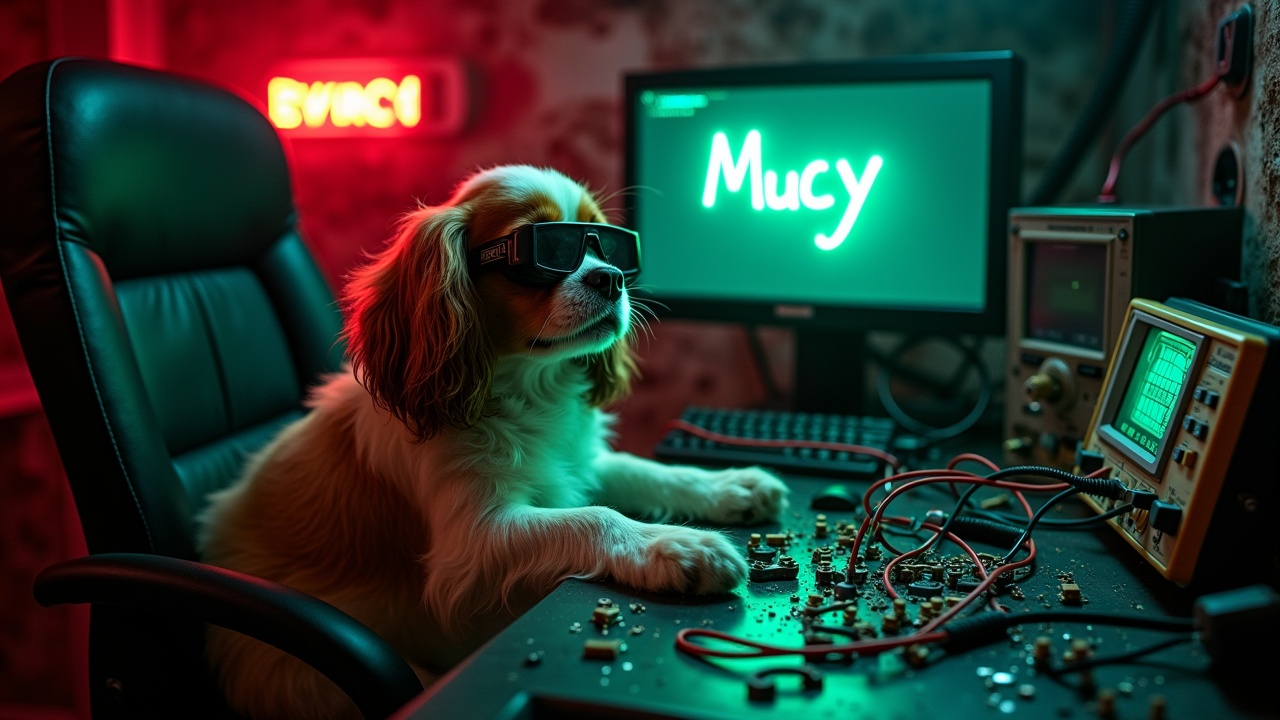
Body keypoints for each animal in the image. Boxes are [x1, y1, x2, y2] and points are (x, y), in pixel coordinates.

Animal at [197, 165, 788, 712]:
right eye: (546, 248)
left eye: (610, 244)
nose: (612, 278)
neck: (528, 387)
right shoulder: (473, 542)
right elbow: (595, 517)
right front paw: (677, 546)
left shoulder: (580, 465)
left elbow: (649, 472)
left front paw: (732, 487)